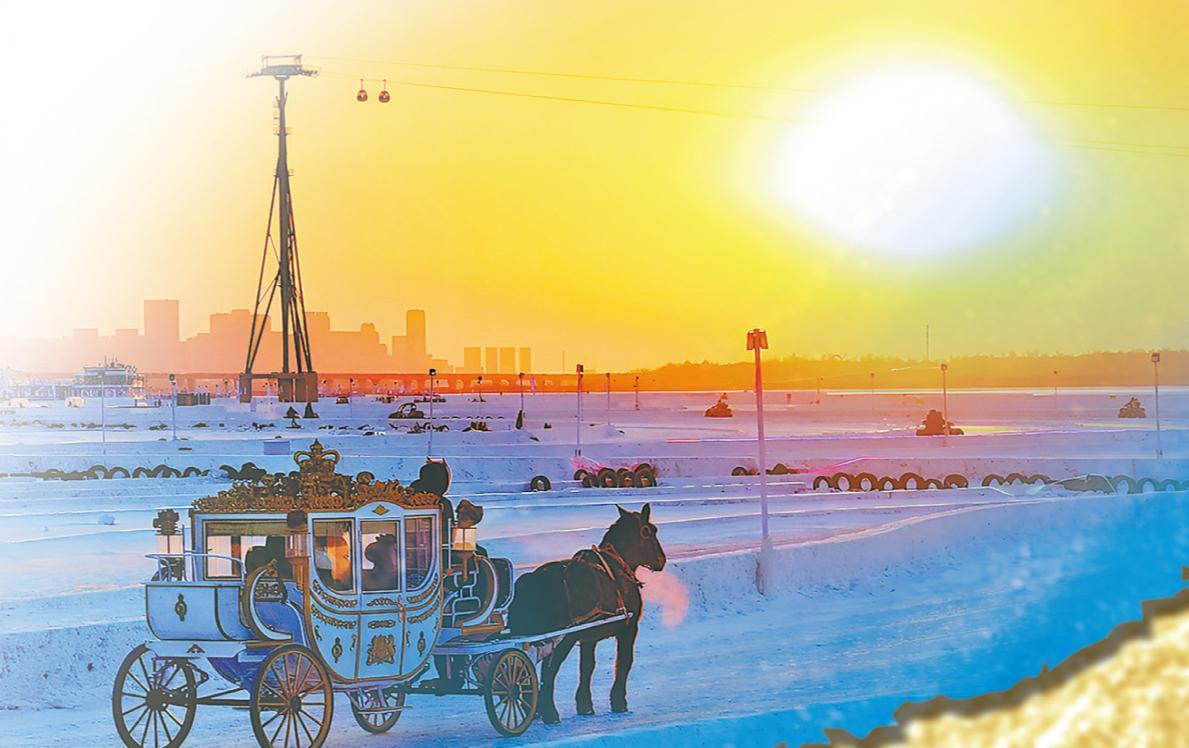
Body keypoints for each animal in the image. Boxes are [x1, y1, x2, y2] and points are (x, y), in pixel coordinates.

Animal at [508, 503, 666, 723]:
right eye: (649, 531)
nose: (662, 560)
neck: (618, 567)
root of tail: (532, 580)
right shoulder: (629, 628)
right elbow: (624, 662)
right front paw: (619, 702)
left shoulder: (588, 637)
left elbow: (587, 667)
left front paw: (584, 705)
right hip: (561, 638)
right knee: (548, 671)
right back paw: (549, 712)